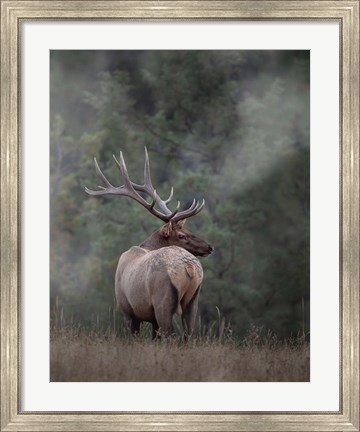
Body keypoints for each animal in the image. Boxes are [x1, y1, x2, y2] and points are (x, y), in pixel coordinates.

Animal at [84, 148, 214, 338]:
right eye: (182, 235)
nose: (209, 247)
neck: (145, 246)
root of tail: (189, 268)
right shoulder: (150, 318)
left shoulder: (128, 310)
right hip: (193, 301)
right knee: (188, 334)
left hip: (162, 301)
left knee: (171, 335)